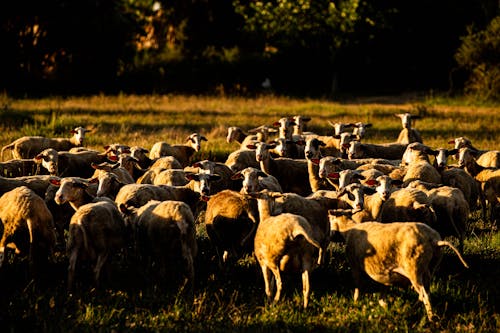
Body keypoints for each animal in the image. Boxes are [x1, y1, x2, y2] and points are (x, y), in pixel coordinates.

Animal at [328, 209, 468, 320]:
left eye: (329, 219)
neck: (348, 230)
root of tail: (435, 240)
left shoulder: (355, 267)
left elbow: (358, 289)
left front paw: (355, 304)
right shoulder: (384, 274)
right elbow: (382, 294)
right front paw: (385, 307)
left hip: (414, 270)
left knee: (425, 295)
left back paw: (431, 318)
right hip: (430, 269)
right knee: (424, 294)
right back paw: (416, 309)